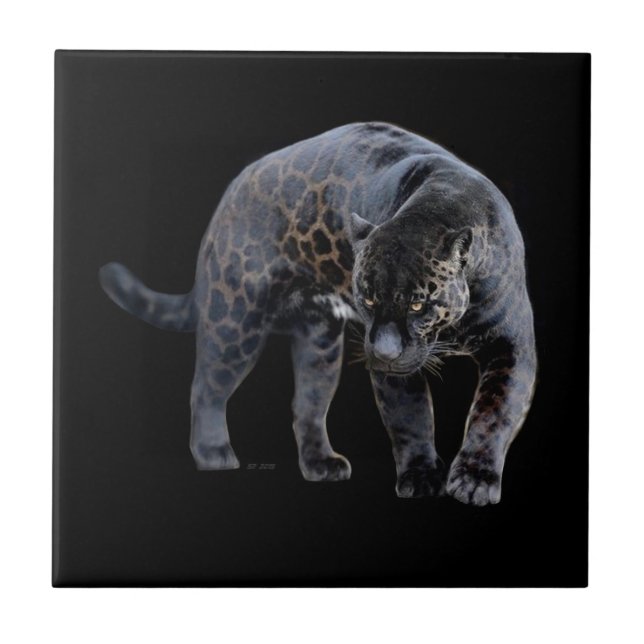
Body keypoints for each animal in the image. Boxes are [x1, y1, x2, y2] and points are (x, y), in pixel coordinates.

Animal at [99, 121, 537, 506]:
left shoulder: (511, 344)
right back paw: (213, 452)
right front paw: (420, 476)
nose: (384, 352)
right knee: (206, 386)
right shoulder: (396, 368)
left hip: (320, 343)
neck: (439, 203)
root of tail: (229, 195)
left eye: (417, 304)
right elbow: (410, 418)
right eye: (368, 299)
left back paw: (320, 464)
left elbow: (493, 412)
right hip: (236, 319)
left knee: (306, 405)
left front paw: (475, 480)